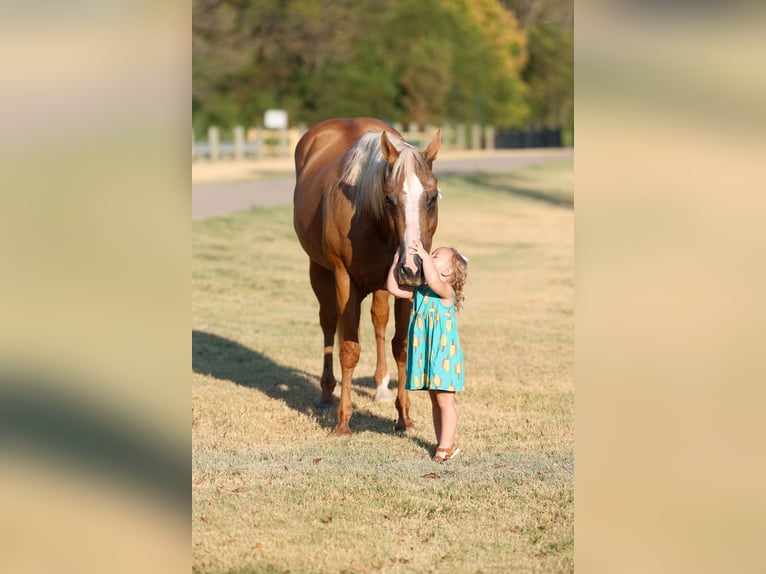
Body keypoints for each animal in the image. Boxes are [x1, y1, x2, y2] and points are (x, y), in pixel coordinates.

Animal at [293, 118, 441, 435]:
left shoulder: (403, 287)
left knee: (379, 321)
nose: (413, 267)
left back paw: (381, 386)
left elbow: (401, 346)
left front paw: (404, 417)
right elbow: (349, 349)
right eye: (388, 199)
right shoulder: (344, 279)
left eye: (432, 196)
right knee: (329, 322)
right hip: (319, 270)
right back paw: (327, 391)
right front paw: (343, 421)